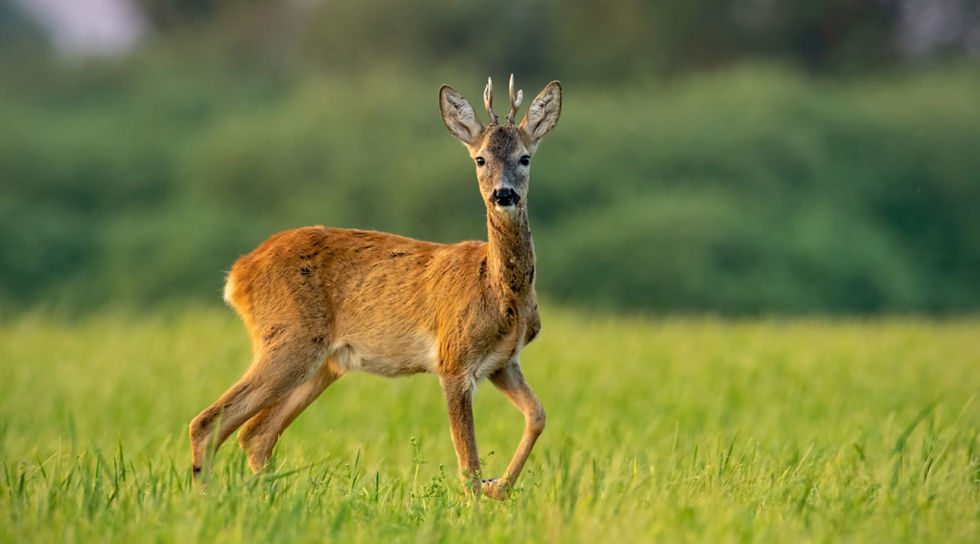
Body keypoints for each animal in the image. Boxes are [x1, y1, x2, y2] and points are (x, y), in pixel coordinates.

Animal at [188, 75, 561, 500]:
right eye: (480, 159)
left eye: (525, 157)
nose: (504, 194)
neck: (502, 293)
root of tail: (237, 274)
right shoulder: (452, 359)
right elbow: (468, 463)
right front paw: (482, 496)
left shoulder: (503, 362)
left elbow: (538, 415)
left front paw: (499, 486)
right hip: (288, 339)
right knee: (208, 422)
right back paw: (206, 501)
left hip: (324, 362)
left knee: (255, 434)